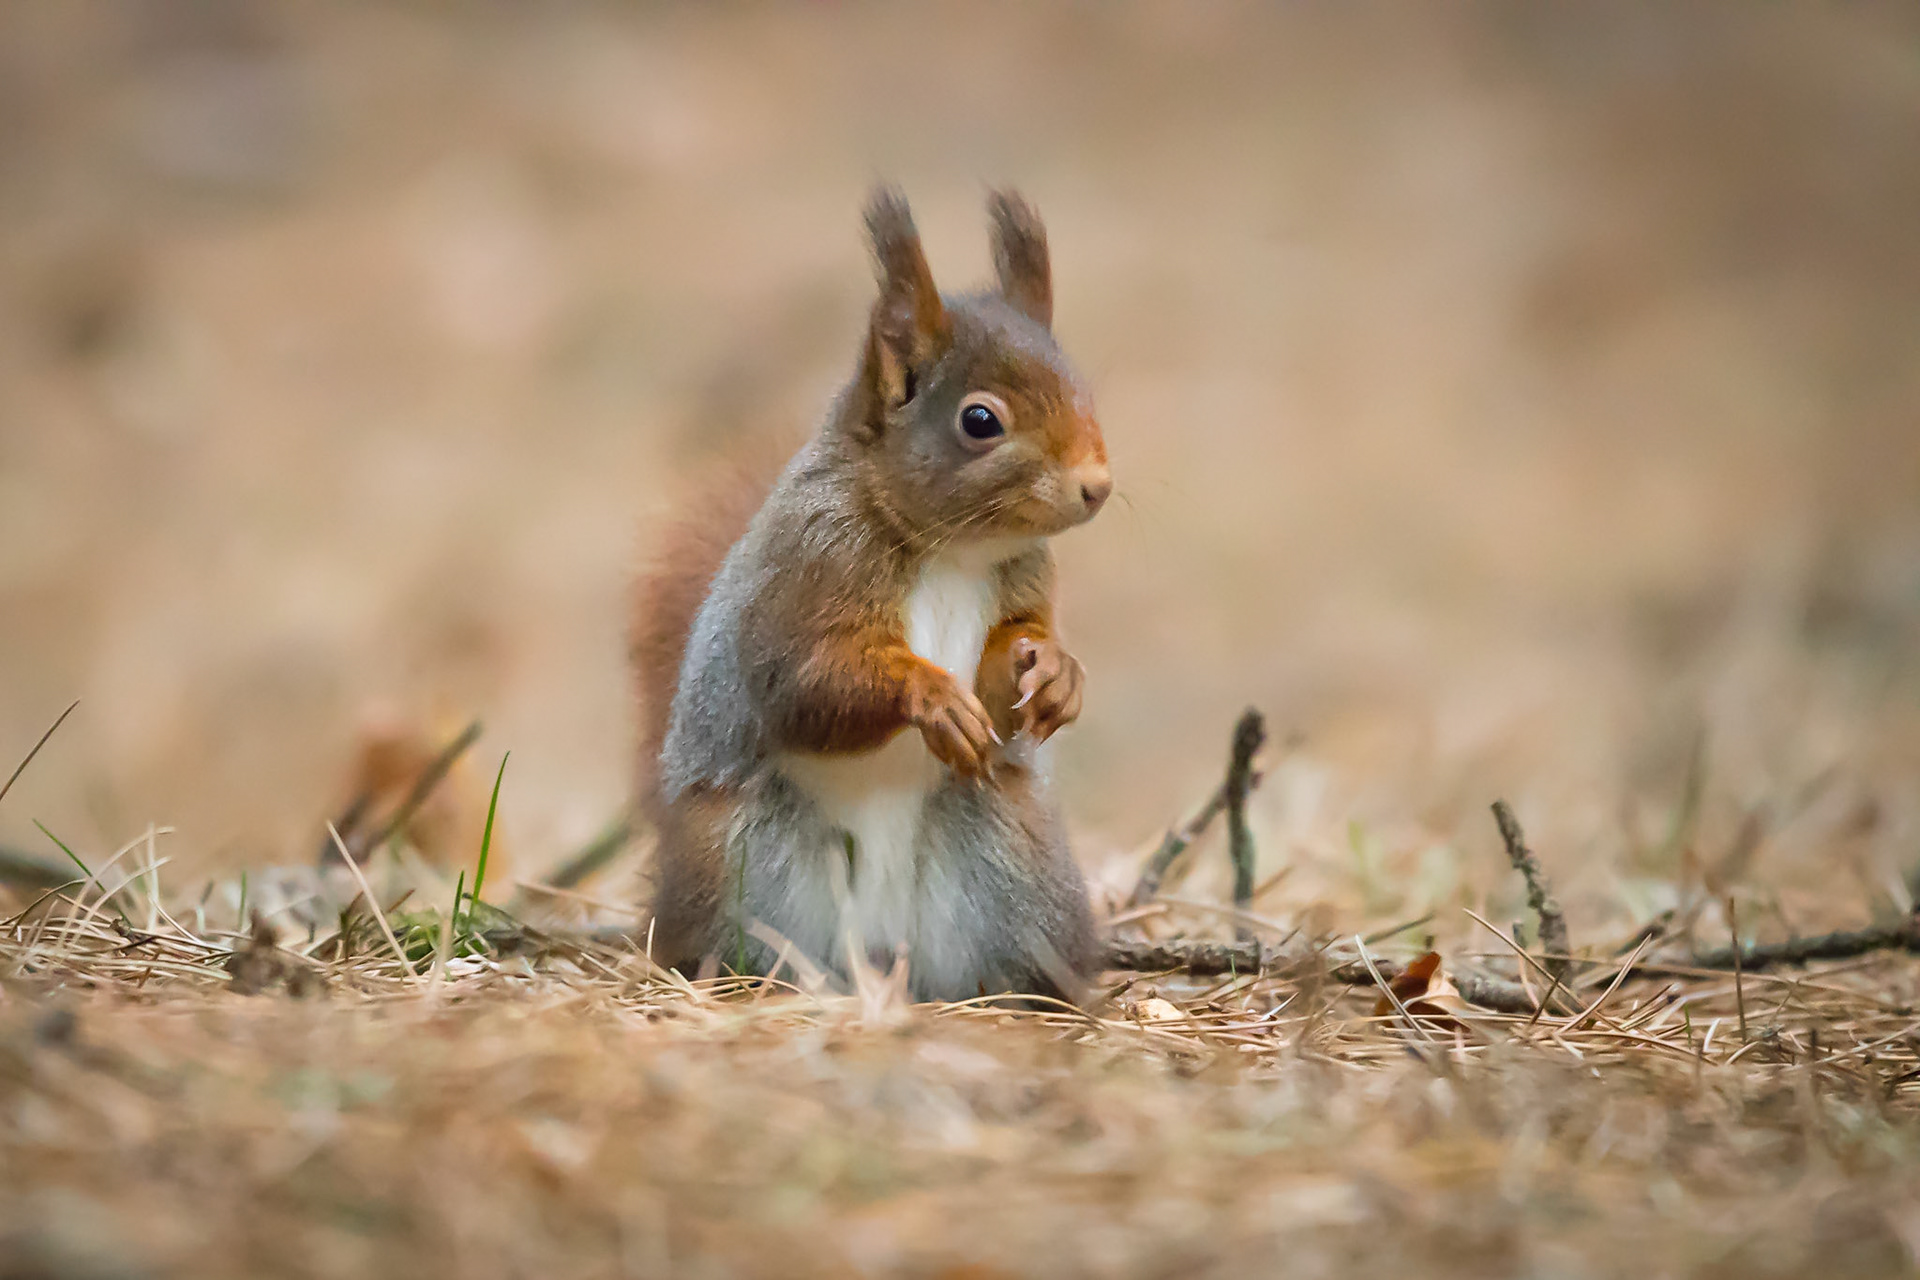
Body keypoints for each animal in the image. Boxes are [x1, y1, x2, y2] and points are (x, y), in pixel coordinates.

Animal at [631, 187, 1111, 1003]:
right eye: (980, 420)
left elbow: (1009, 662)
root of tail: (883, 952)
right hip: (733, 866)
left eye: (1084, 389)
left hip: (1019, 869)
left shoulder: (1023, 582)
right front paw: (931, 696)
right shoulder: (809, 568)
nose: (1097, 486)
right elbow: (803, 683)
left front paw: (1054, 671)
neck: (954, 552)